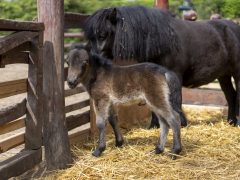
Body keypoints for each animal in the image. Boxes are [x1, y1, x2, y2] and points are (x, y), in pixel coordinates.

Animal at [84, 5, 240, 126]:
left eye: (103, 35)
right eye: (90, 37)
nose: (92, 62)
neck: (163, 42)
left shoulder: (175, 76)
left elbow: (176, 100)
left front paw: (180, 124)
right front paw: (154, 125)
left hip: (236, 73)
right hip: (224, 75)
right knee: (230, 95)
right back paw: (231, 121)